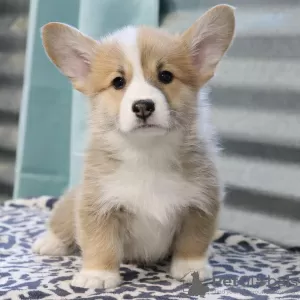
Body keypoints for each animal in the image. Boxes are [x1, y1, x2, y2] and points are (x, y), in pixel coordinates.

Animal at [32, 4, 234, 290]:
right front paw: (98, 275)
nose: (143, 106)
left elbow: (193, 241)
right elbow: (100, 243)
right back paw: (50, 242)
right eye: (118, 82)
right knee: (61, 221)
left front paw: (191, 267)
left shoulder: (201, 203)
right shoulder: (98, 206)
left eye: (165, 76)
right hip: (70, 202)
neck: (147, 152)